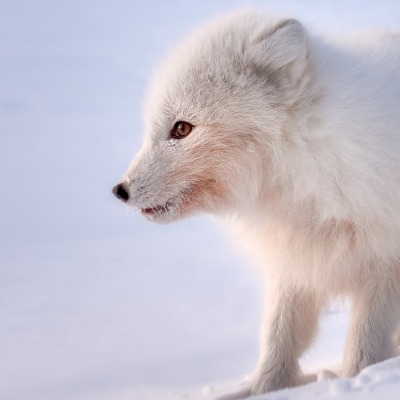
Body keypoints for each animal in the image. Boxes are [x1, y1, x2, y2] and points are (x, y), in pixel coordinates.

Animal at [112, 10, 400, 396]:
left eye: (182, 129)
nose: (120, 190)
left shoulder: (383, 266)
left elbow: (363, 350)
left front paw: (357, 381)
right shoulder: (293, 264)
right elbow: (278, 341)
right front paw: (264, 389)